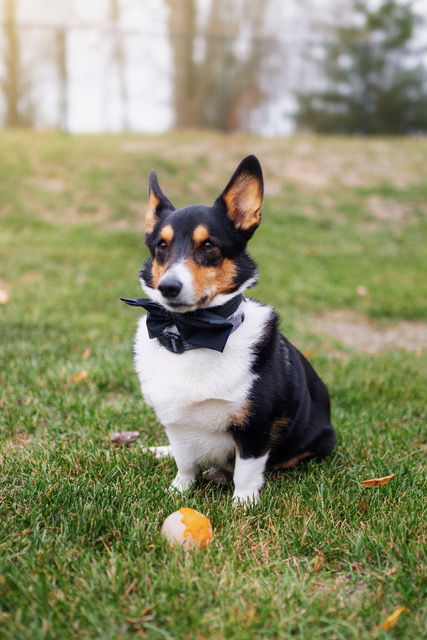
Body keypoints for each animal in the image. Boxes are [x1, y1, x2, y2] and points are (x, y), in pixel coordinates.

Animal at [122, 155, 336, 504]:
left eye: (209, 245)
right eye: (161, 246)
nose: (168, 287)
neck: (190, 334)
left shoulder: (255, 429)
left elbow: (246, 472)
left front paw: (243, 506)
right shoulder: (178, 426)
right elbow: (185, 463)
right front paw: (178, 491)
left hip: (321, 440)